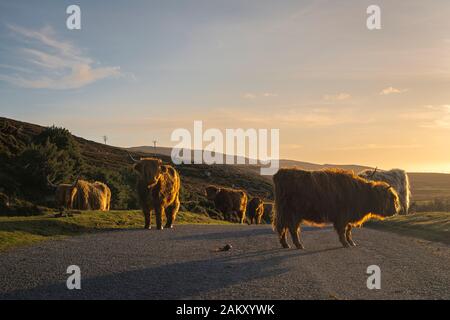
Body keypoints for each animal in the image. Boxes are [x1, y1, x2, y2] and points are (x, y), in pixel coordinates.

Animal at [272, 169, 400, 249]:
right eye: (390, 198)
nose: (395, 211)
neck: (361, 192)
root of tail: (281, 173)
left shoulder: (348, 217)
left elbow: (348, 230)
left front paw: (351, 242)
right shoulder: (342, 217)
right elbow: (343, 230)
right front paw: (346, 243)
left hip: (284, 213)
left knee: (283, 227)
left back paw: (285, 244)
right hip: (293, 213)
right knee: (292, 229)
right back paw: (299, 245)